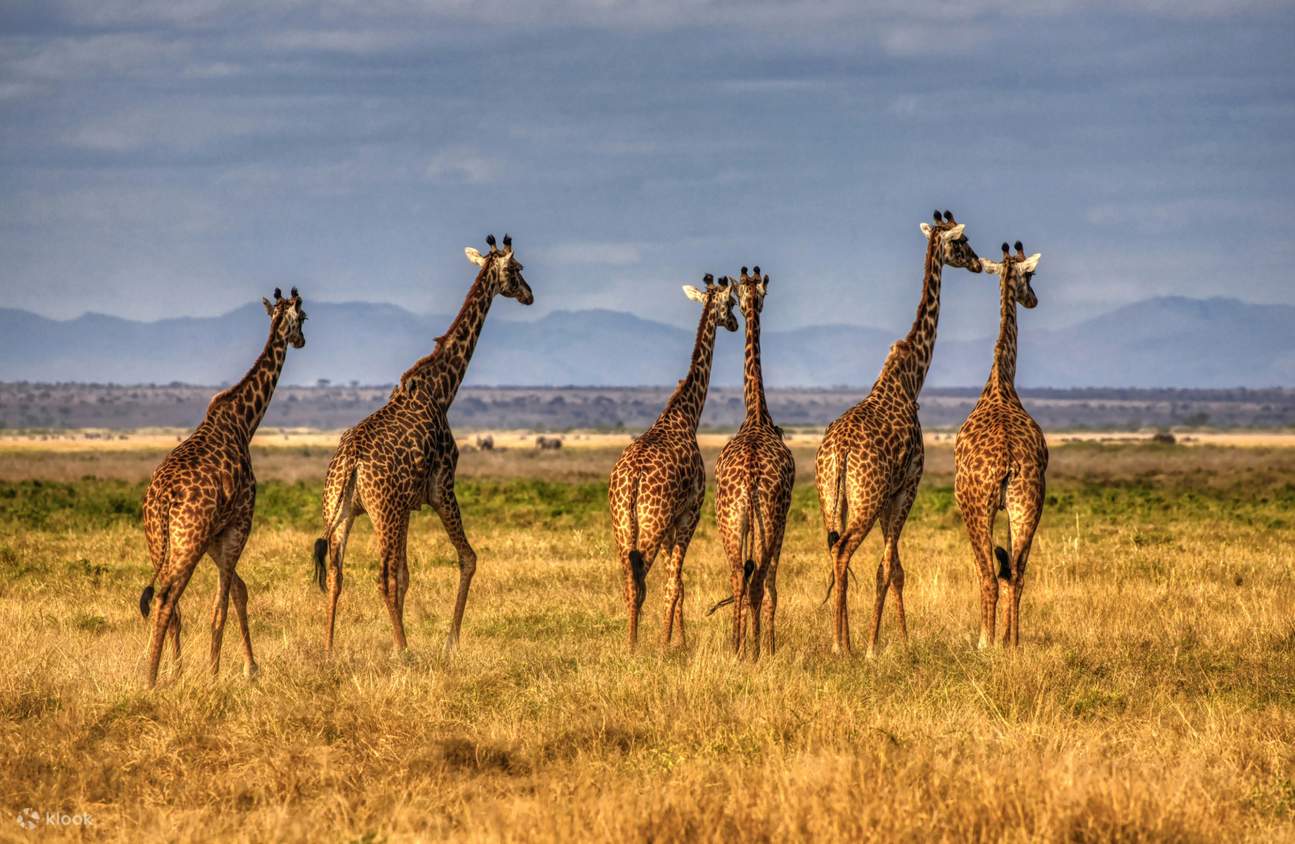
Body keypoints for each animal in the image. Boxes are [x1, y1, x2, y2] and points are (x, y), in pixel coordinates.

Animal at [138, 288, 307, 687]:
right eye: (305, 318)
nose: (302, 341)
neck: (245, 422)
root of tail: (162, 499)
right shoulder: (239, 522)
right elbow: (222, 604)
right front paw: (215, 674)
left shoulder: (215, 535)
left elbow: (238, 592)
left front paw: (246, 667)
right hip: (187, 540)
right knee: (167, 598)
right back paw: (151, 678)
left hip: (159, 540)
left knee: (170, 604)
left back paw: (170, 671)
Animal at [315, 234, 533, 656]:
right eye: (517, 270)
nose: (530, 295)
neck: (441, 390)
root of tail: (350, 464)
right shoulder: (441, 486)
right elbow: (467, 558)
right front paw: (450, 641)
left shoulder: (408, 505)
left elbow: (407, 574)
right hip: (382, 512)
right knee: (380, 576)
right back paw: (404, 650)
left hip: (341, 510)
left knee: (336, 574)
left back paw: (330, 648)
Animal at [608, 274, 738, 648]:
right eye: (731, 303)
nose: (735, 324)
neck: (685, 415)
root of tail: (633, 480)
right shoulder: (689, 513)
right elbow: (675, 583)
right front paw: (670, 644)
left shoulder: (670, 525)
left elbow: (675, 583)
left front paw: (678, 639)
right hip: (650, 523)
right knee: (641, 581)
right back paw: (636, 645)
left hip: (622, 525)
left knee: (629, 582)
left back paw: (631, 641)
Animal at [816, 210, 984, 656]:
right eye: (962, 243)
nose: (979, 263)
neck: (910, 379)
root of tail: (839, 452)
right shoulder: (908, 484)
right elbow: (890, 567)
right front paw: (885, 645)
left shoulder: (889, 495)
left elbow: (892, 568)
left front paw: (890, 639)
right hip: (866, 498)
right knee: (844, 552)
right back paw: (843, 646)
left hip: (833, 499)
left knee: (834, 553)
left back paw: (841, 641)